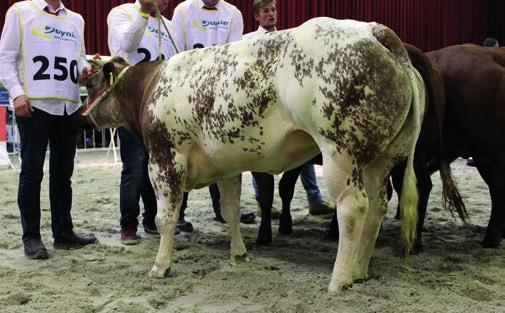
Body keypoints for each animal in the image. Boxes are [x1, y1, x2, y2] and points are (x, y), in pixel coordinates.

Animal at [80, 17, 424, 292]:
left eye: (90, 82)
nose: (81, 117)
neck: (151, 87)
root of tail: (371, 30)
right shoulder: (226, 165)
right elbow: (231, 210)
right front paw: (240, 255)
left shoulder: (165, 158)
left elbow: (166, 218)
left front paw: (160, 267)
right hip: (381, 157)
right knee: (378, 206)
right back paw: (359, 270)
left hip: (340, 152)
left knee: (352, 209)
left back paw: (340, 281)